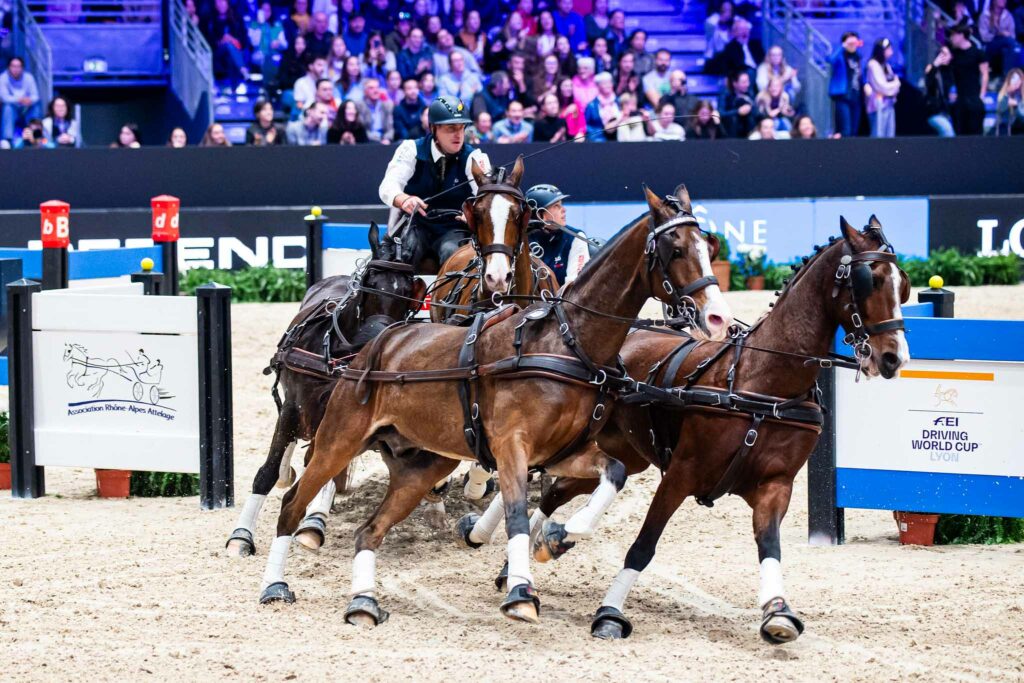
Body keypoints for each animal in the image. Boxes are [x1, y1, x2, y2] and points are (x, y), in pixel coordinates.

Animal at [226, 227, 425, 557]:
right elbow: (267, 472)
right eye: (371, 282)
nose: (379, 334)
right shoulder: (294, 407)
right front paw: (241, 536)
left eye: (409, 290)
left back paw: (312, 521)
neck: (337, 355)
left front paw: (311, 526)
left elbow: (325, 468)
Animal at [253, 184, 737, 626]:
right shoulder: (511, 447)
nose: (717, 317)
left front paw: (565, 533)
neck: (565, 342)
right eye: (676, 248)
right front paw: (521, 590)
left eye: (708, 245)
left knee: (369, 530)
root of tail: (377, 342)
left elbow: (611, 474)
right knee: (293, 500)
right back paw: (274, 583)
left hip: (420, 464)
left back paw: (363, 603)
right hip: (338, 438)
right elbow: (517, 513)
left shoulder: (563, 453)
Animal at [532, 216, 909, 643]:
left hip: (624, 453)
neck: (763, 383)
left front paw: (778, 612)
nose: (895, 357)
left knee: (560, 490)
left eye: (903, 284)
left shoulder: (776, 485)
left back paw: (543, 544)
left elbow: (769, 545)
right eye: (869, 279)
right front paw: (610, 612)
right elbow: (644, 545)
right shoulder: (680, 474)